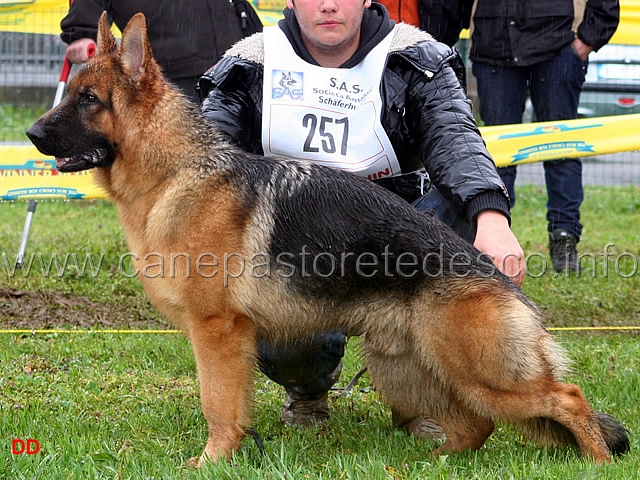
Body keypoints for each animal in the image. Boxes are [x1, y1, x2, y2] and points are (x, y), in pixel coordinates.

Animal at [26, 13, 632, 466]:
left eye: (88, 99)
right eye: (71, 94)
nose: (30, 134)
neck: (175, 173)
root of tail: (502, 282)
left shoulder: (217, 333)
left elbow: (217, 405)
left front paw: (209, 462)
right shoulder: (231, 339)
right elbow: (233, 407)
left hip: (477, 369)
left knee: (567, 398)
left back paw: (598, 462)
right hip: (410, 367)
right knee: (476, 423)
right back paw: (437, 460)